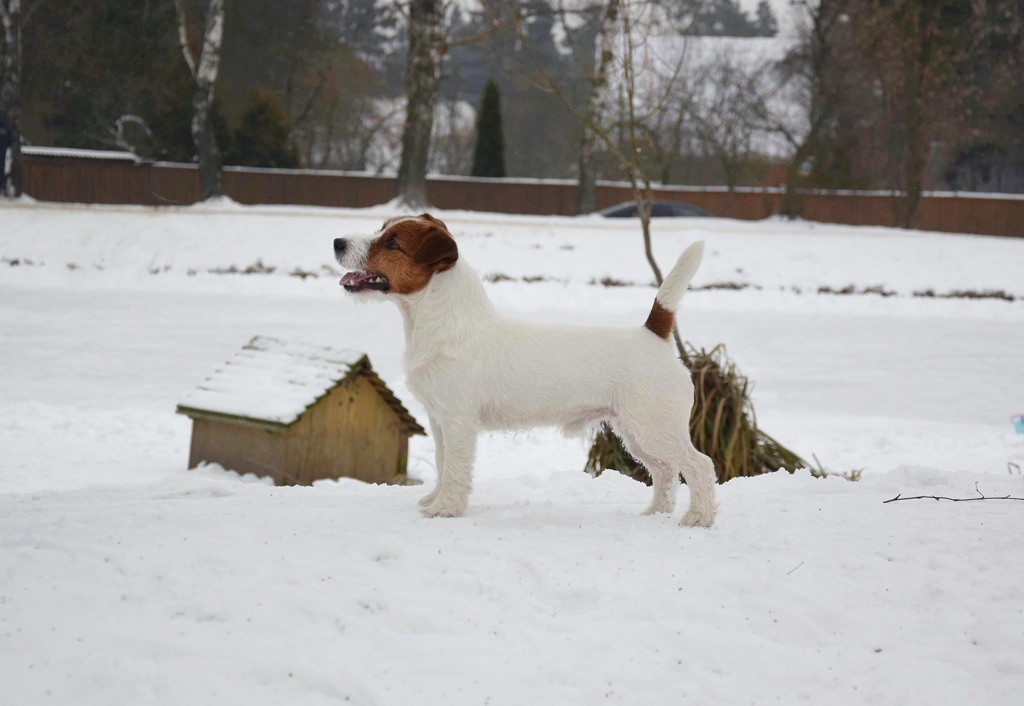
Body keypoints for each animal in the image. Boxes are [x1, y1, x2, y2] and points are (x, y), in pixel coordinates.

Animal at [331, 212, 716, 524]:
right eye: (381, 228)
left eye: (393, 242)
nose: (337, 242)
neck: (443, 324)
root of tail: (653, 333)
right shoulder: (438, 421)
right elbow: (442, 465)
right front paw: (433, 500)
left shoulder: (458, 422)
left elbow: (455, 469)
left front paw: (446, 510)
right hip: (637, 433)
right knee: (666, 472)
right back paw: (656, 514)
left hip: (655, 428)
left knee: (699, 465)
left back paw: (698, 518)